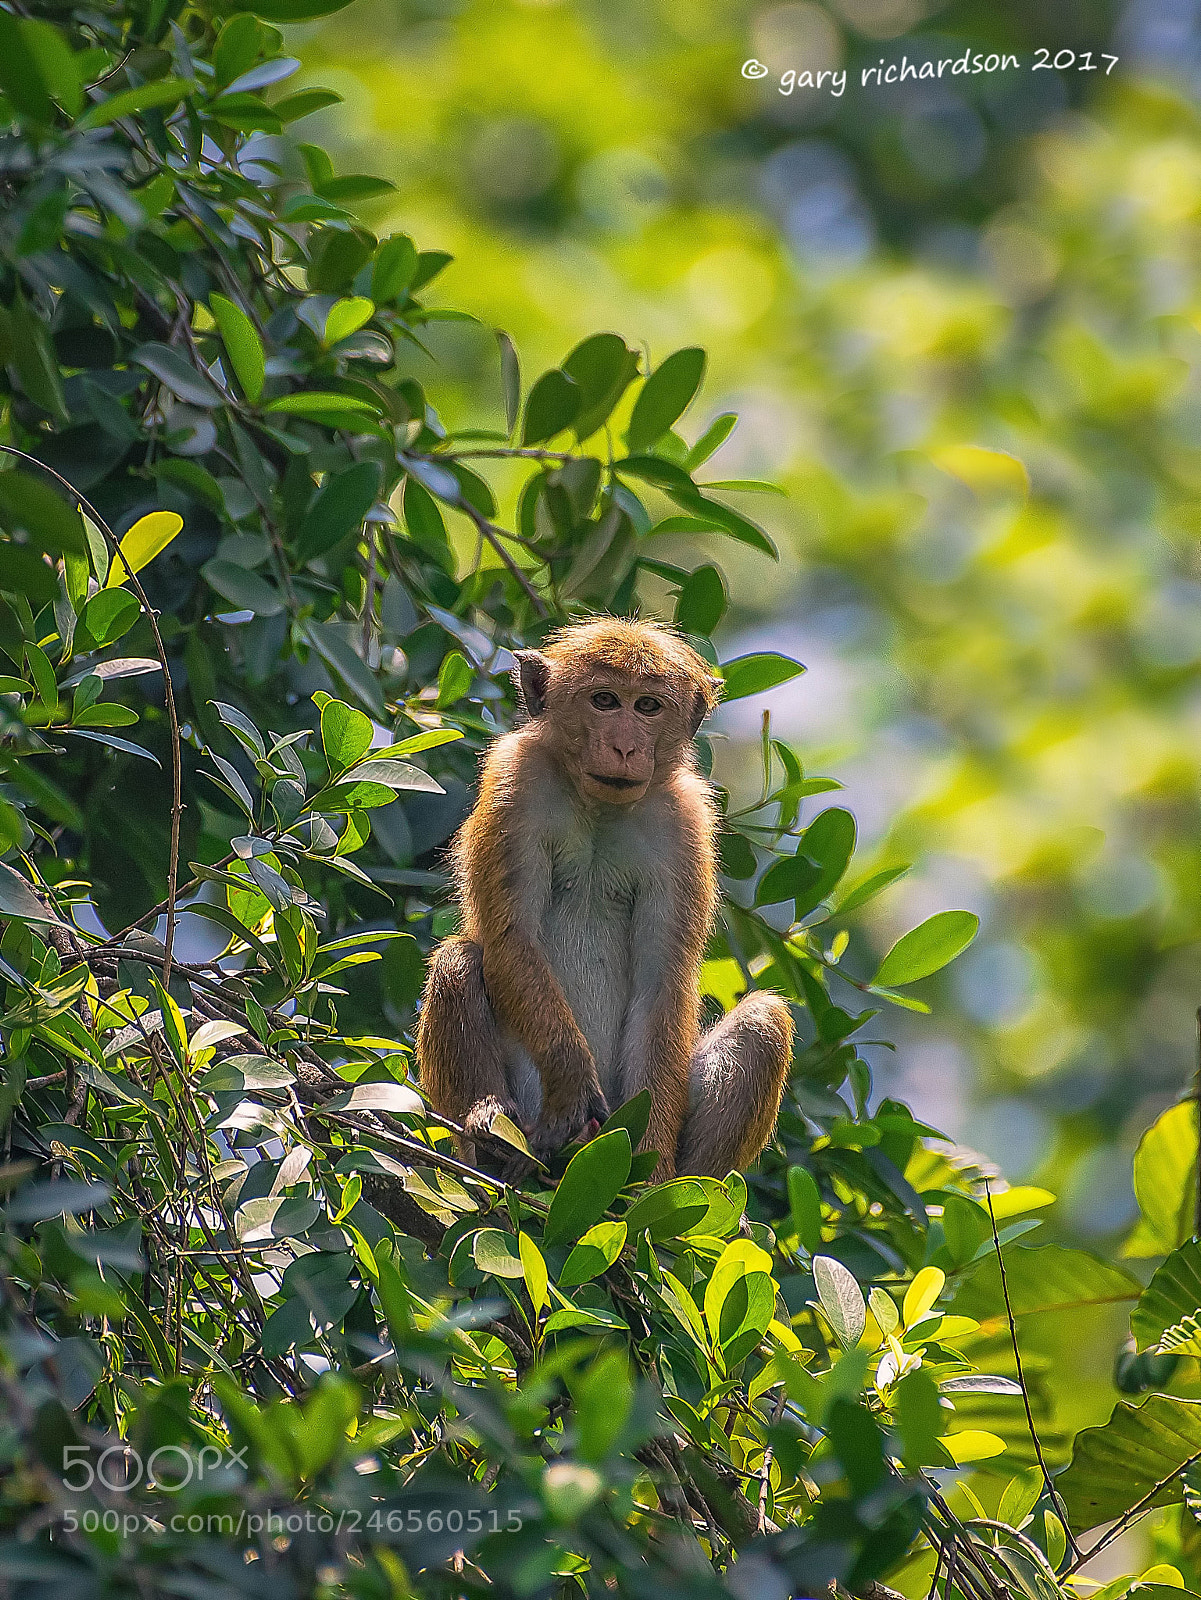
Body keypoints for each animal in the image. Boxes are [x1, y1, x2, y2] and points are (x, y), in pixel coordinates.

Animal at [416, 616, 795, 1183]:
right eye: (604, 700)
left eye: (647, 707)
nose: (625, 748)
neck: (599, 804)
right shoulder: (516, 782)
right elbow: (511, 936)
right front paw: (572, 1083)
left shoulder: (684, 824)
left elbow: (660, 979)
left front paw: (651, 1172)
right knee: (460, 960)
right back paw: (492, 1138)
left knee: (763, 1022)